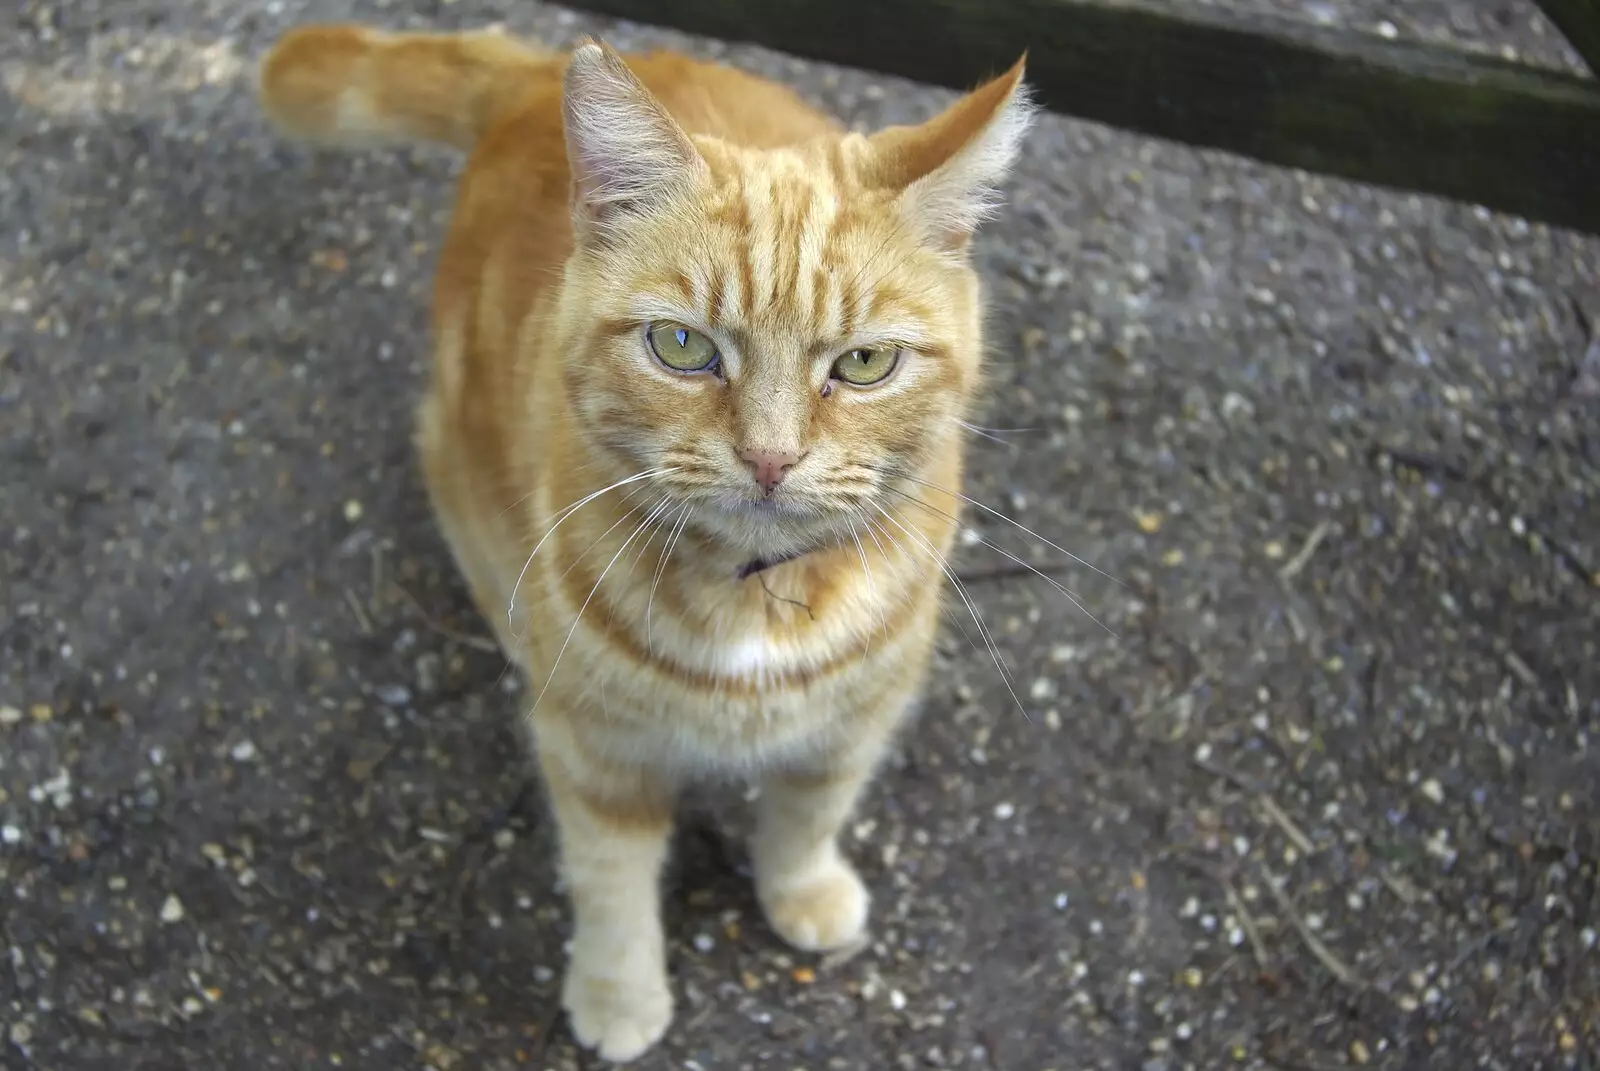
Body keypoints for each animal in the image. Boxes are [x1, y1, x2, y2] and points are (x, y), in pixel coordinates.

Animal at [256, 23, 1030, 1062]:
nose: (771, 456)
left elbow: (808, 814)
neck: (751, 601)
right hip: (462, 461)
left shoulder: (854, 721)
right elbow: (612, 883)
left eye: (865, 363)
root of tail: (538, 69)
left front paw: (804, 890)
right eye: (682, 347)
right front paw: (620, 996)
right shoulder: (597, 754)